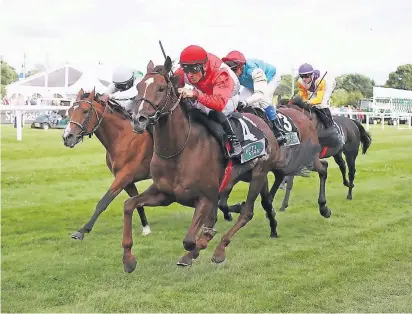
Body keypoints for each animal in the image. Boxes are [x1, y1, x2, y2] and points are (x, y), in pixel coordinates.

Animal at [60, 88, 152, 240]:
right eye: (70, 110)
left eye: (85, 111)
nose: (67, 137)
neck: (123, 137)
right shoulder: (127, 180)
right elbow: (136, 201)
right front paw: (146, 228)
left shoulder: (123, 176)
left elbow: (103, 201)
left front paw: (82, 230)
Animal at [120, 56, 324, 272]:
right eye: (139, 87)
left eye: (160, 88)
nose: (138, 119)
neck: (178, 150)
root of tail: (267, 126)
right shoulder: (164, 194)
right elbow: (128, 204)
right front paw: (128, 258)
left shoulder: (206, 197)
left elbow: (190, 240)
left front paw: (201, 244)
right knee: (265, 201)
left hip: (259, 173)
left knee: (247, 212)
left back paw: (220, 249)